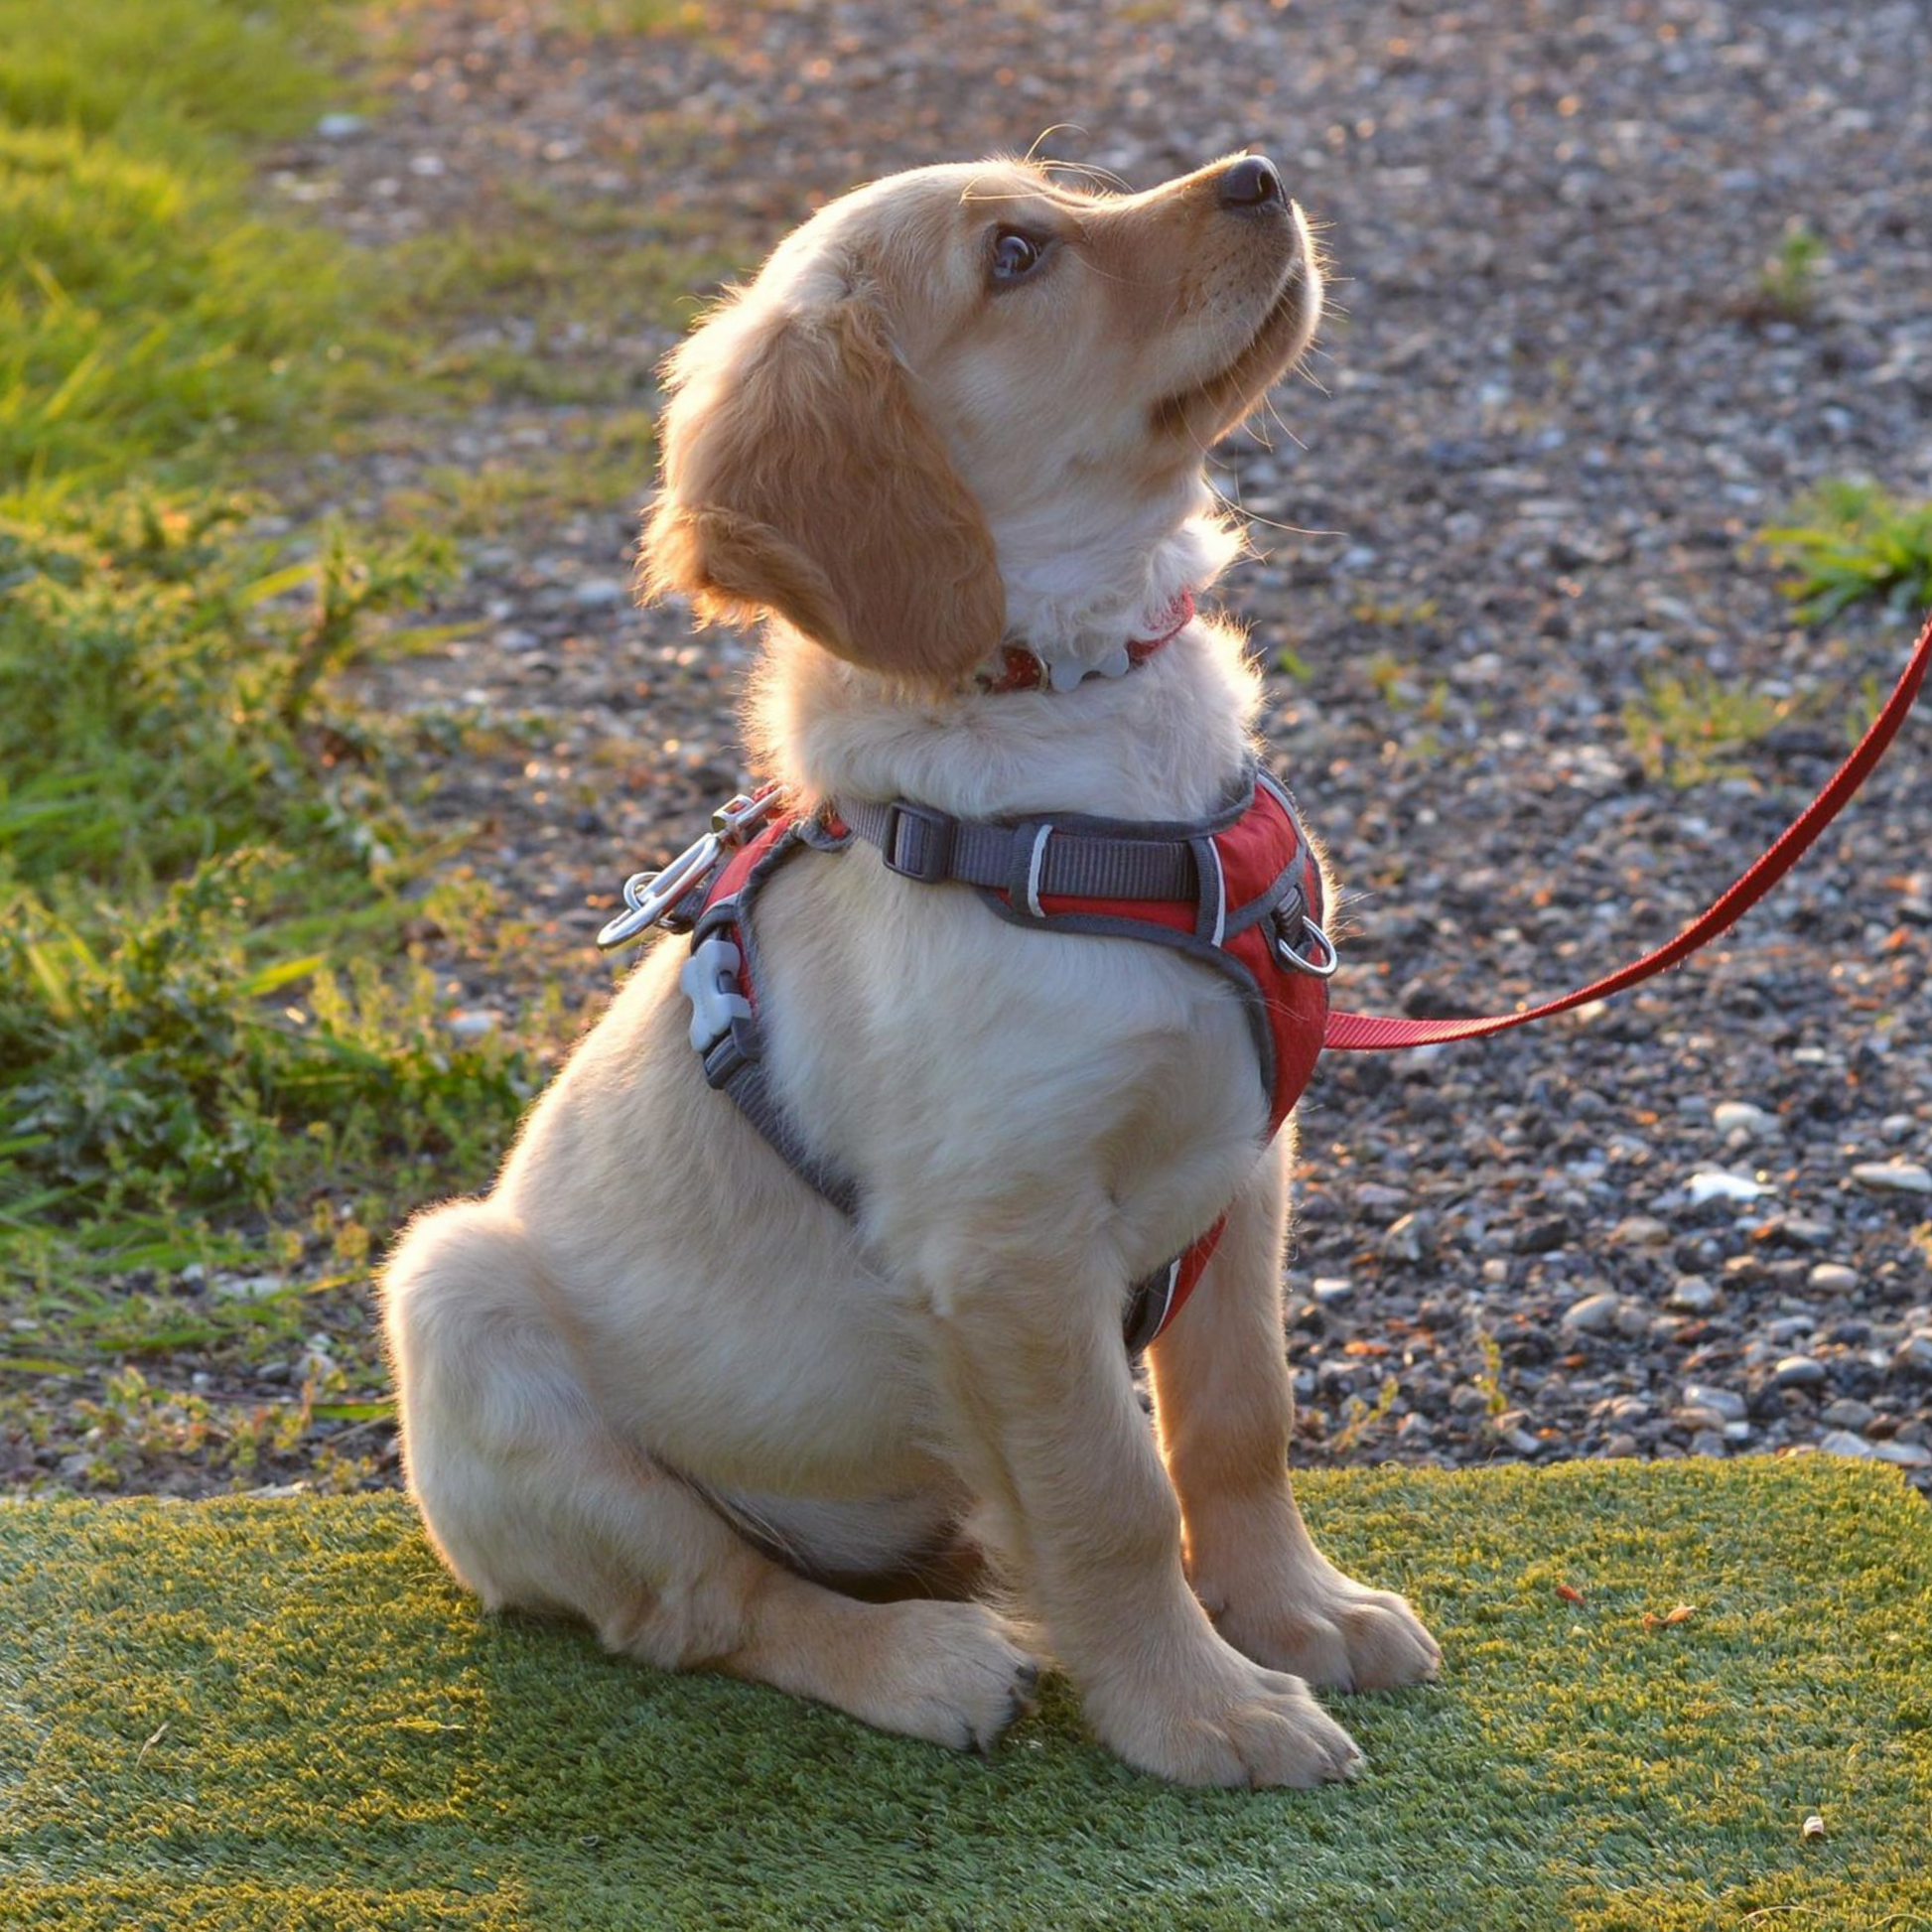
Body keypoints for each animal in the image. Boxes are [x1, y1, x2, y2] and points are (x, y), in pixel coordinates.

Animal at [380, 154, 1437, 1792]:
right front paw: (1200, 1710)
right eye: (1013, 257)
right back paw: (921, 1659)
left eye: (1055, 196)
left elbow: (1234, 1423)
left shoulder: (1243, 1163)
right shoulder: (1007, 1246)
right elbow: (1110, 1497)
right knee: (709, 1601)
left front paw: (1293, 1613)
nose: (1262, 173)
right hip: (457, 1298)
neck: (1080, 741)